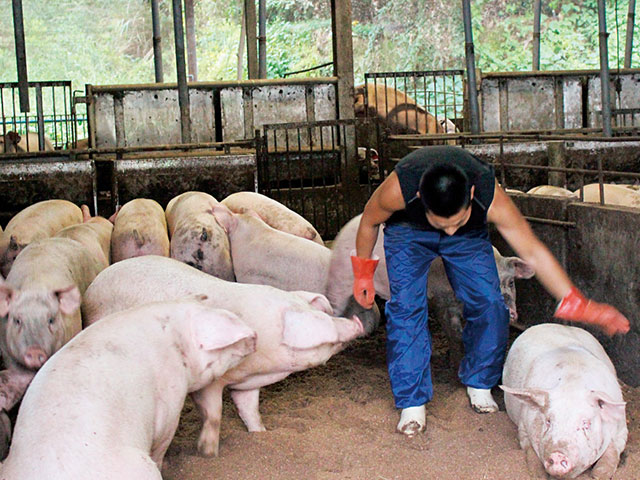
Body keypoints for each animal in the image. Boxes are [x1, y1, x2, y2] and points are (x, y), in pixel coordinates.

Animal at [82, 255, 372, 458]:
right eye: (320, 321)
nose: (356, 319)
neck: (262, 365)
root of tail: (94, 283)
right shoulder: (210, 378)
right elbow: (214, 414)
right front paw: (208, 453)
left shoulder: (247, 384)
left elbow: (250, 410)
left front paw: (261, 434)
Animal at [500, 322, 624, 480]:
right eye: (548, 421)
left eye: (586, 423)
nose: (558, 454)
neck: (573, 382)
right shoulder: (523, 425)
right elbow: (529, 449)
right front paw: (538, 474)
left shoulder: (622, 428)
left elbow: (614, 449)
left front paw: (599, 474)